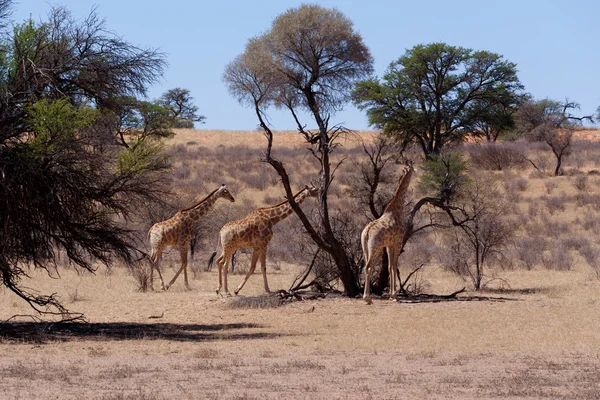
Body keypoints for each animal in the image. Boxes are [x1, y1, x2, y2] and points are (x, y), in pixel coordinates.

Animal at [358, 163, 414, 304]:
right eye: (412, 168)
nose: (415, 171)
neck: (398, 209)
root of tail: (366, 232)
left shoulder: (389, 244)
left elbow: (389, 267)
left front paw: (391, 295)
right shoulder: (398, 241)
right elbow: (394, 265)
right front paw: (394, 295)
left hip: (365, 248)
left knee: (365, 267)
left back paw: (367, 297)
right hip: (375, 247)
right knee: (369, 267)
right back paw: (367, 298)